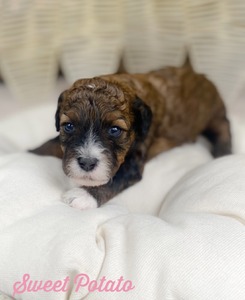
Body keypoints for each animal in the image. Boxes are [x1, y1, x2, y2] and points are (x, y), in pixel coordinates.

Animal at [31, 62, 232, 207]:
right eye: (69, 126)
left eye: (115, 130)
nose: (87, 163)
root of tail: (203, 76)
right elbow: (50, 145)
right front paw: (29, 153)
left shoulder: (134, 158)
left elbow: (115, 179)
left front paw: (83, 195)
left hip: (214, 115)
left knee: (224, 127)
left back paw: (223, 153)